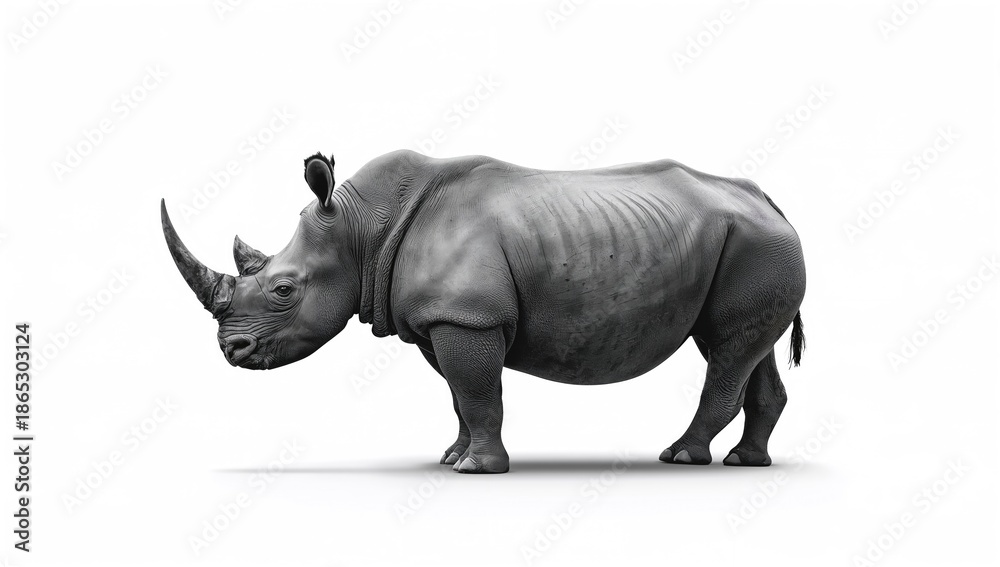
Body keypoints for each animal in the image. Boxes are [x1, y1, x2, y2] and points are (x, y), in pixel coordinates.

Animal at [161, 150, 806, 473]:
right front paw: (453, 456)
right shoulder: (438, 321)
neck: (360, 229)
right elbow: (460, 395)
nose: (232, 351)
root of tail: (771, 201)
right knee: (745, 347)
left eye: (283, 290)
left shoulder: (468, 316)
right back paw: (747, 462)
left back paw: (682, 457)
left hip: (754, 245)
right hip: (754, 245)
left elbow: (477, 390)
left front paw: (477, 469)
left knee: (727, 350)